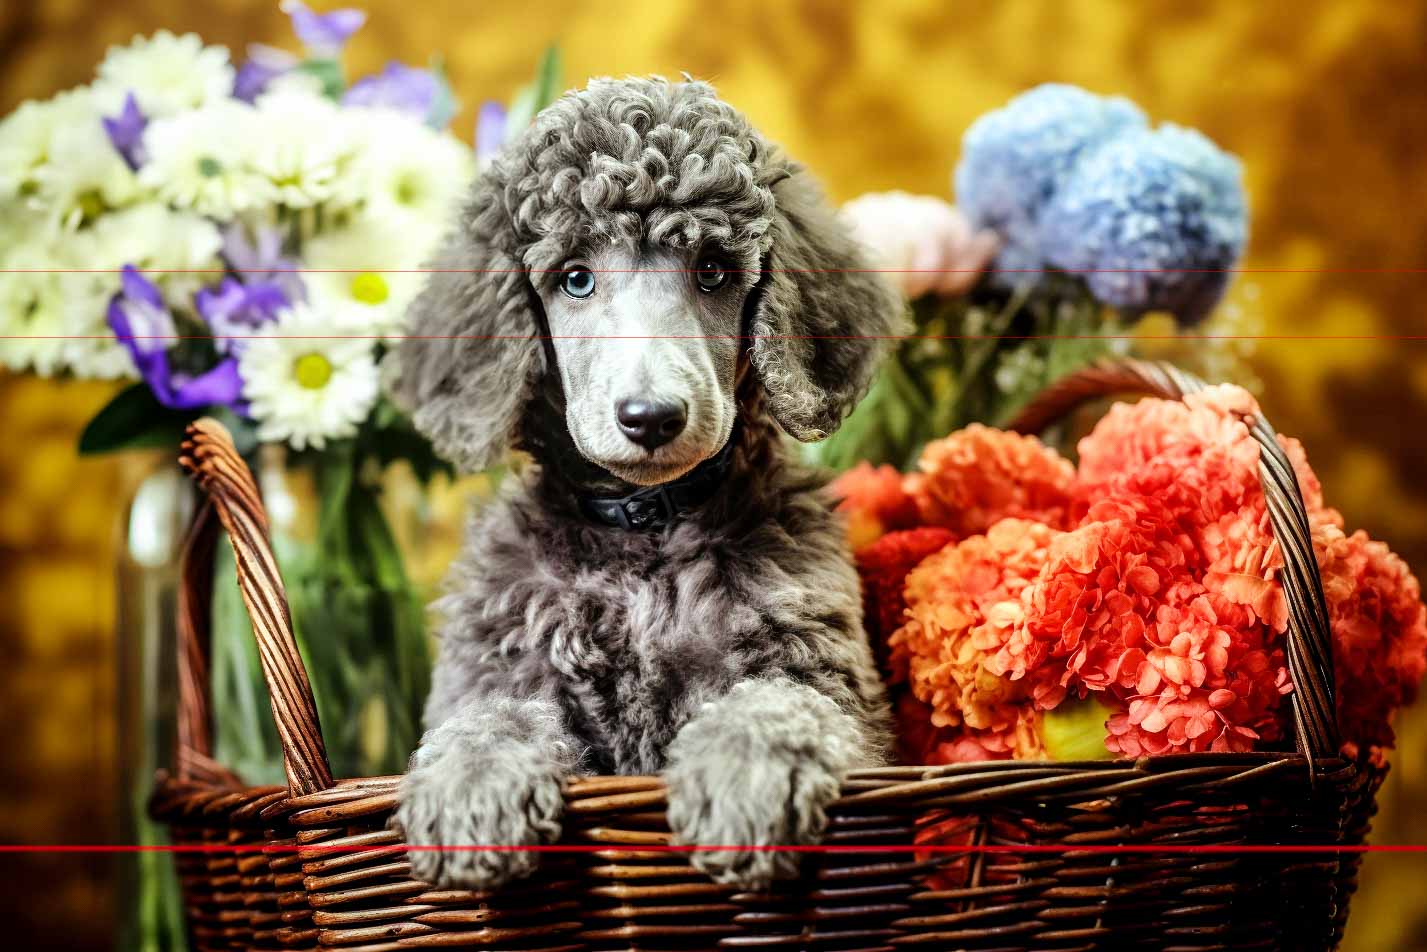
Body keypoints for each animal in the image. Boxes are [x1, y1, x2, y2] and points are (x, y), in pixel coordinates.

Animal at [390, 74, 901, 896]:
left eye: (715, 271)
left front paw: (745, 779)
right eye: (574, 278)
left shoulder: (832, 681)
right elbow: (493, 715)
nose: (652, 417)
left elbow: (778, 697)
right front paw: (470, 786)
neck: (643, 533)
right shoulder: (496, 663)